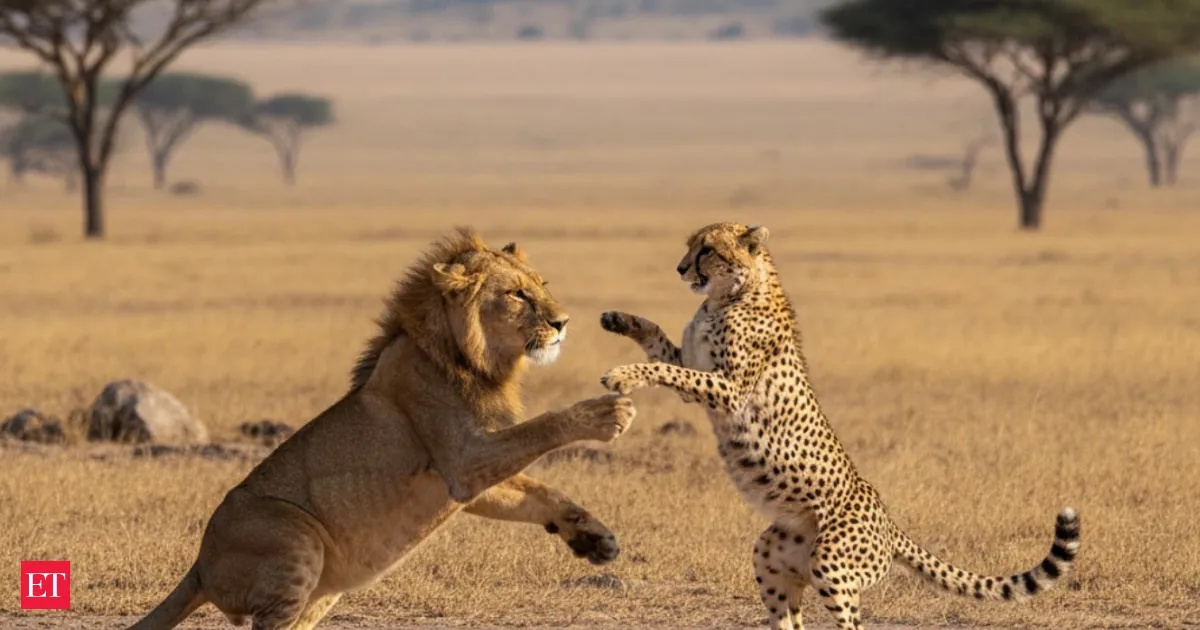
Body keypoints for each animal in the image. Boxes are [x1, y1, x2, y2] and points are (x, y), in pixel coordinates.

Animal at [127, 228, 637, 630]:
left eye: (542, 285)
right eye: (516, 295)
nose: (562, 323)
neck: (477, 362)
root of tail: (199, 566)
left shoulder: (468, 482)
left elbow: (540, 493)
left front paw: (594, 539)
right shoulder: (464, 462)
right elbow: (543, 427)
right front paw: (606, 414)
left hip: (319, 590)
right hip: (296, 541)